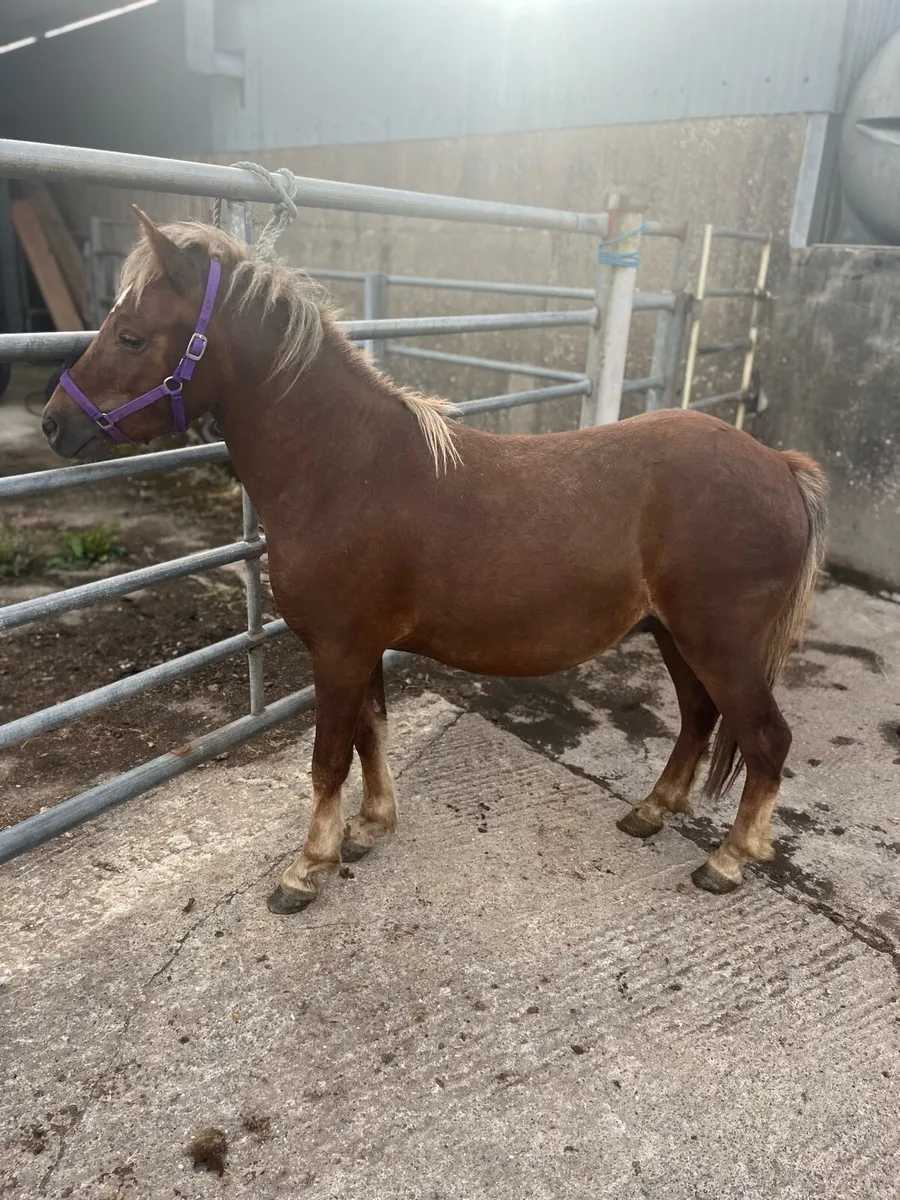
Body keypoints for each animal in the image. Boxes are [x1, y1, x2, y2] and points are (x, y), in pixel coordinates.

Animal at [41, 210, 827, 915]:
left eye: (132, 335)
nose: (54, 422)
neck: (343, 467)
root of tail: (780, 467)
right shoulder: (361, 648)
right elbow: (371, 733)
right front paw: (369, 828)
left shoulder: (339, 648)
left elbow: (330, 755)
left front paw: (307, 868)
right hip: (676, 635)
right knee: (698, 720)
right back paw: (652, 811)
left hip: (720, 643)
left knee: (766, 739)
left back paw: (728, 860)